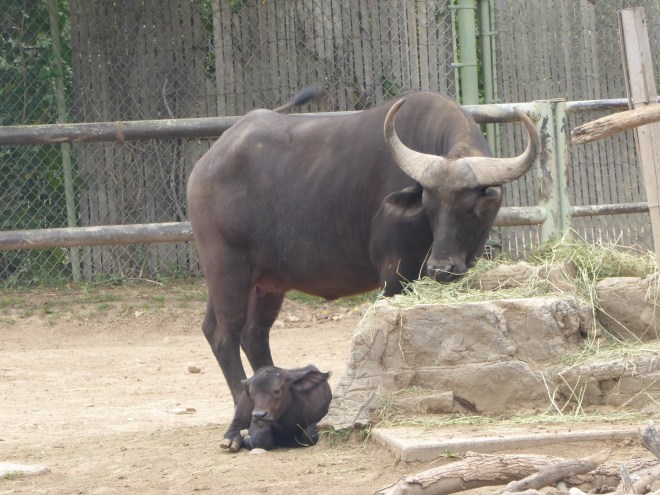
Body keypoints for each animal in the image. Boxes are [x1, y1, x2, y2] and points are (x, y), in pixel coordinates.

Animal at [187, 90, 540, 404]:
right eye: (429, 207)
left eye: (469, 208)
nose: (440, 267)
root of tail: (205, 166)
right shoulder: (394, 273)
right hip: (225, 267)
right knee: (225, 333)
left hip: (264, 281)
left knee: (250, 333)